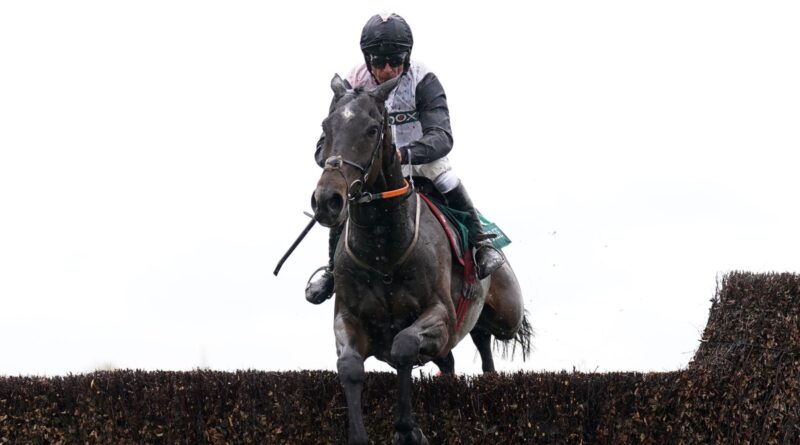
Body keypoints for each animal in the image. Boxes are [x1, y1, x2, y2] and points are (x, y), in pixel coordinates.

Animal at [312, 73, 532, 444]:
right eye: (326, 127)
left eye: (373, 129)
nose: (327, 200)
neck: (383, 253)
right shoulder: (349, 319)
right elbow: (351, 367)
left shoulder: (440, 316)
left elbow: (403, 346)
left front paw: (406, 429)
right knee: (457, 357)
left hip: (506, 315)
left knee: (487, 340)